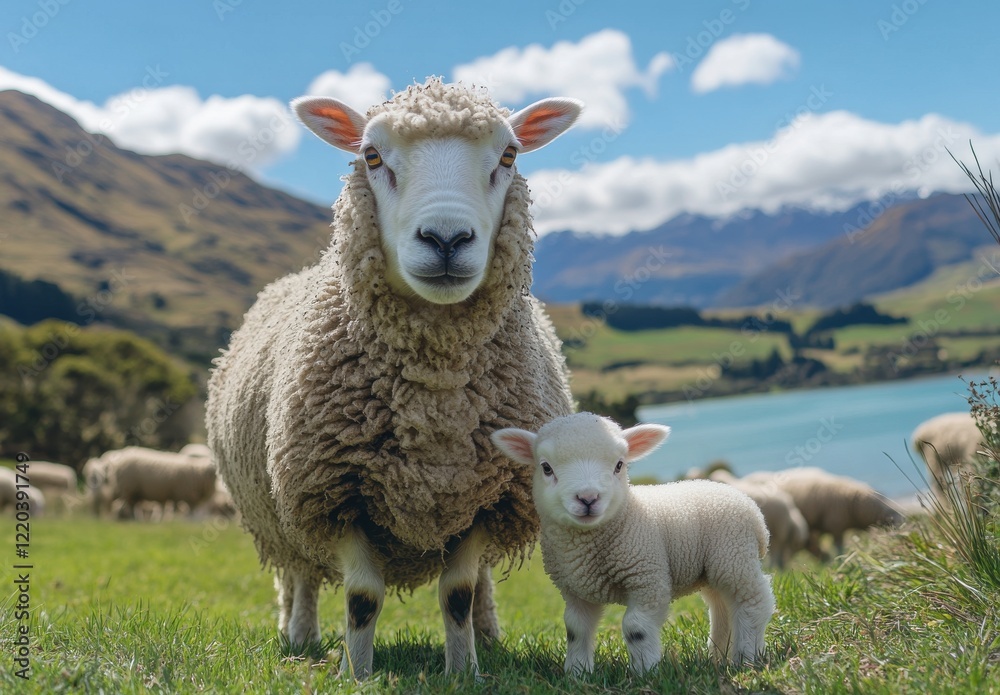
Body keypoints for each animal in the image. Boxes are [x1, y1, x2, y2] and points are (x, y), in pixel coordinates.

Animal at [206, 79, 580, 677]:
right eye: (372, 156)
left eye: (509, 155)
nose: (446, 238)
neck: (434, 396)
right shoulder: (336, 493)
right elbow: (362, 598)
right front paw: (355, 673)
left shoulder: (487, 495)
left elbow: (458, 592)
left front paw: (464, 671)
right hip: (282, 511)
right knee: (300, 575)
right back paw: (299, 635)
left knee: (480, 585)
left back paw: (489, 635)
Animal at [492, 413, 775, 674]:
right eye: (546, 468)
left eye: (619, 465)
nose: (588, 498)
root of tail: (754, 514)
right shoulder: (574, 590)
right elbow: (575, 629)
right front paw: (577, 673)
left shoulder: (647, 578)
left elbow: (635, 628)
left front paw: (645, 672)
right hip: (713, 568)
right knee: (722, 606)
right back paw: (718, 656)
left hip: (733, 556)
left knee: (752, 601)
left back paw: (746, 657)